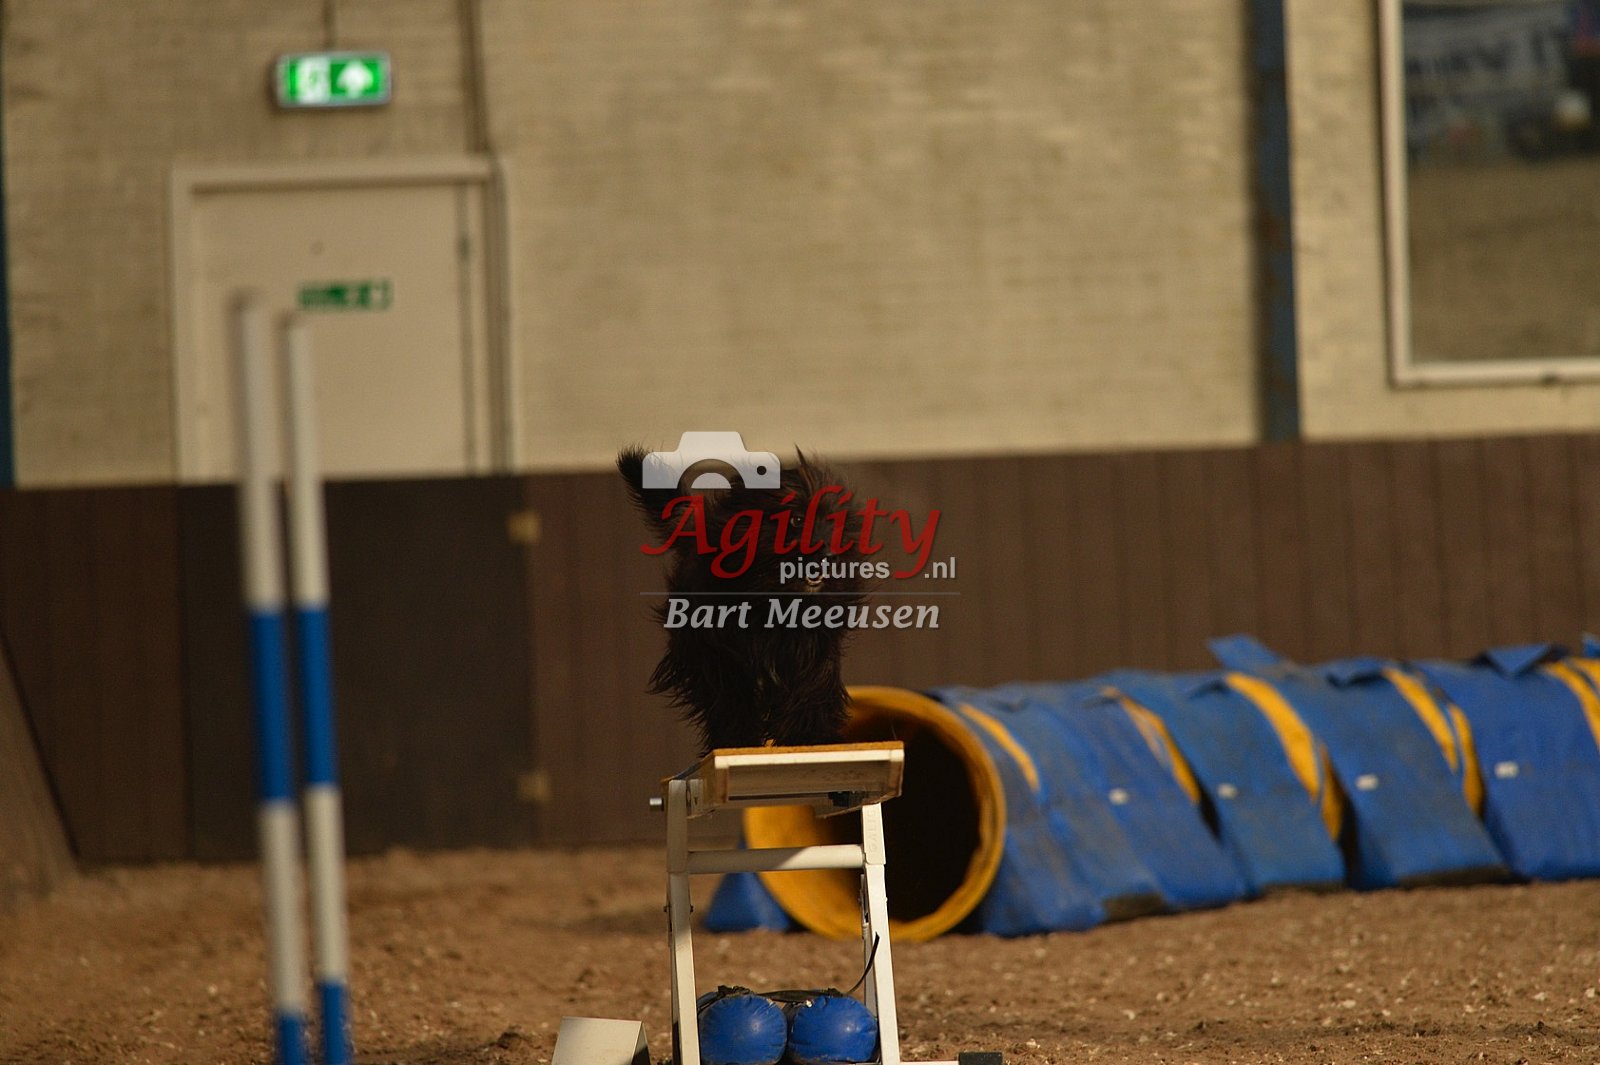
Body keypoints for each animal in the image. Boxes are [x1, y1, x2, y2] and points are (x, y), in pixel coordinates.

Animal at [618, 445, 864, 752]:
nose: (830, 556)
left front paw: (809, 736)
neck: (771, 598)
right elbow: (731, 699)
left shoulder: (813, 649)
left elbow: (811, 688)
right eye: (796, 519)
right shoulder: (721, 654)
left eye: (833, 523)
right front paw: (737, 740)